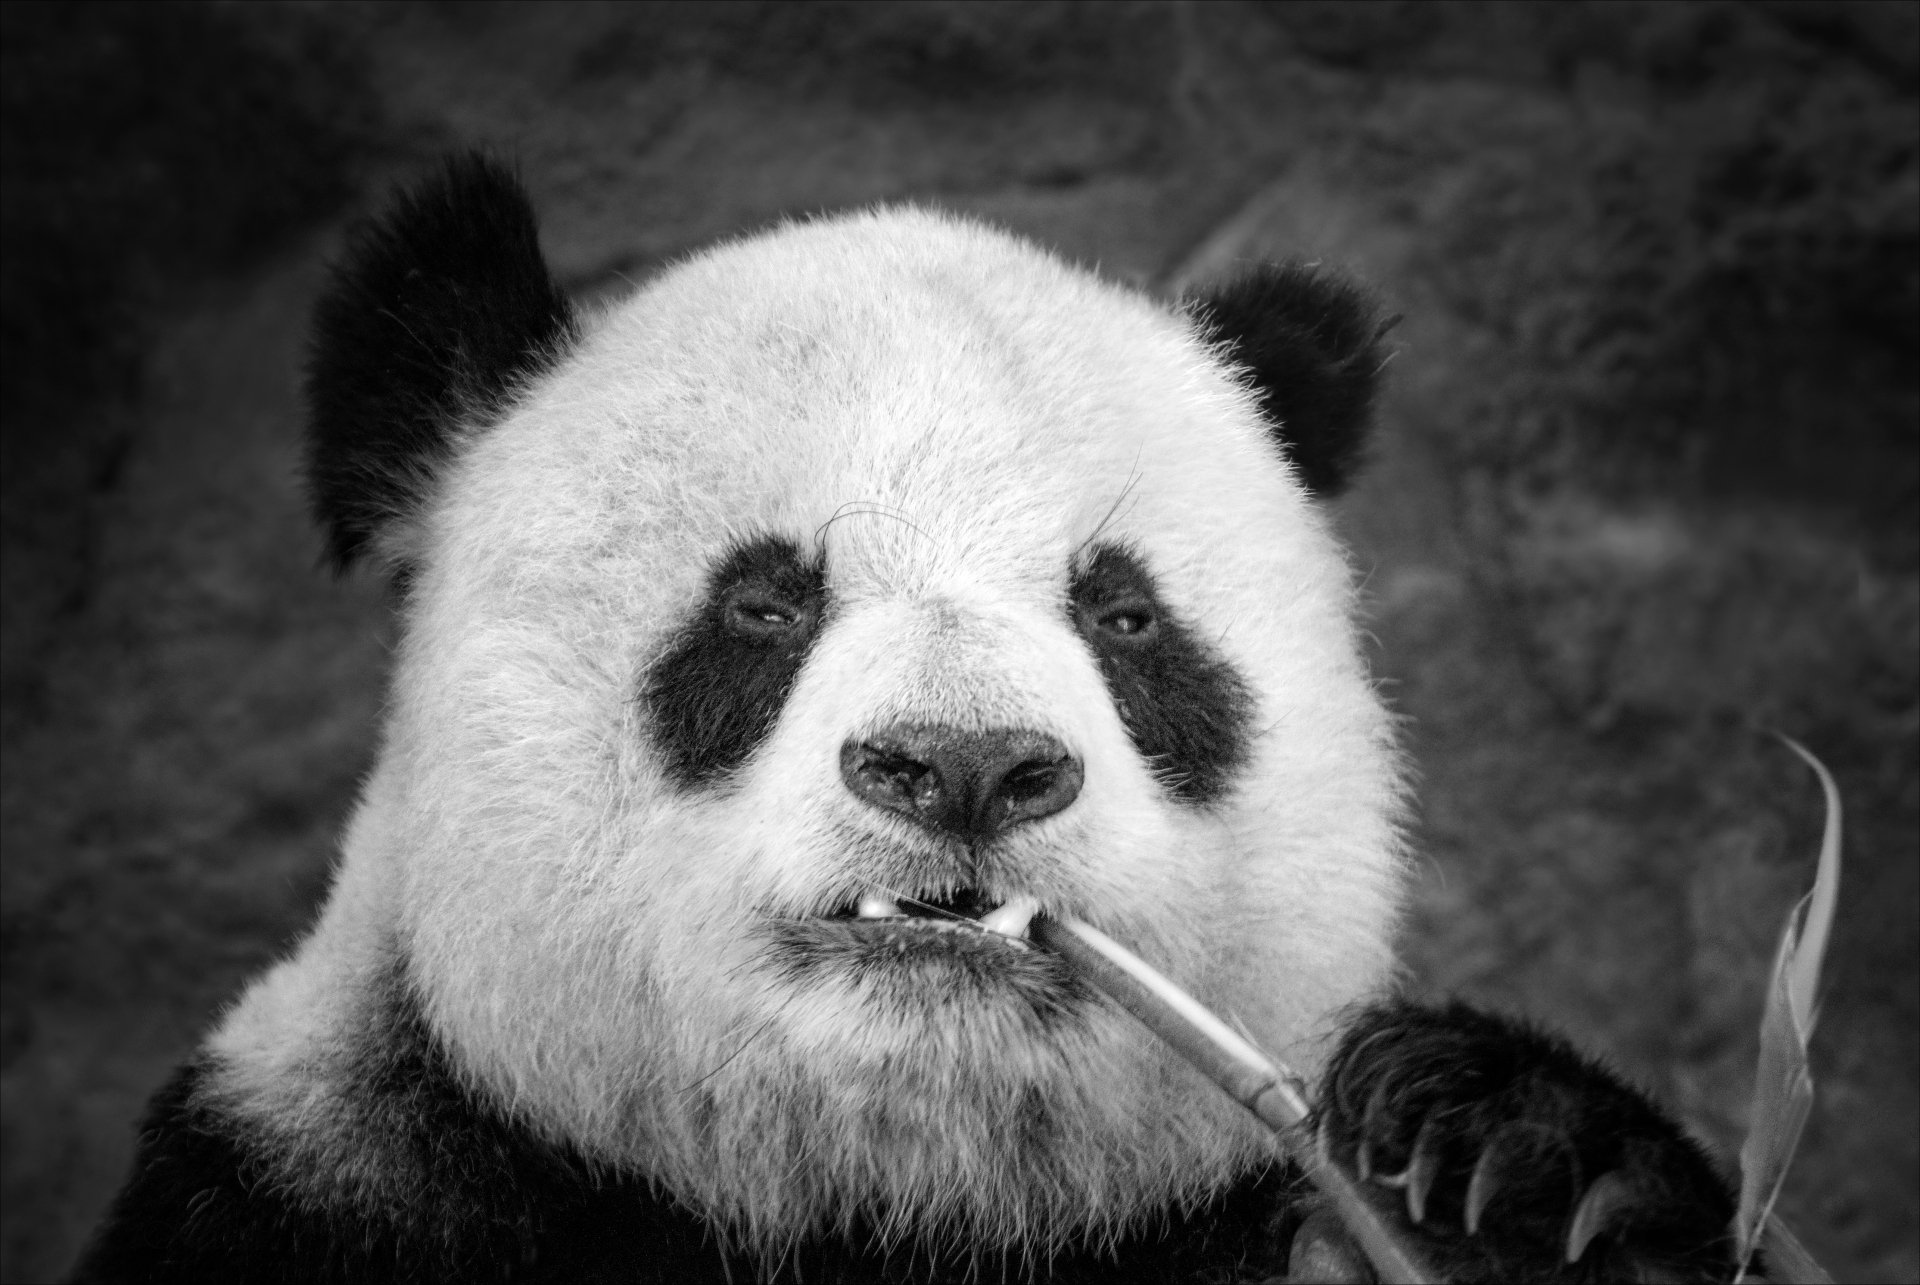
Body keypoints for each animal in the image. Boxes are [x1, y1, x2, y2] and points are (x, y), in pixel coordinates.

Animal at [73, 155, 1740, 1284]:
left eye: (1124, 617)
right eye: (763, 604)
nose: (966, 768)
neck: (887, 1200)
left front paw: (1500, 1169)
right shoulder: (330, 1189)